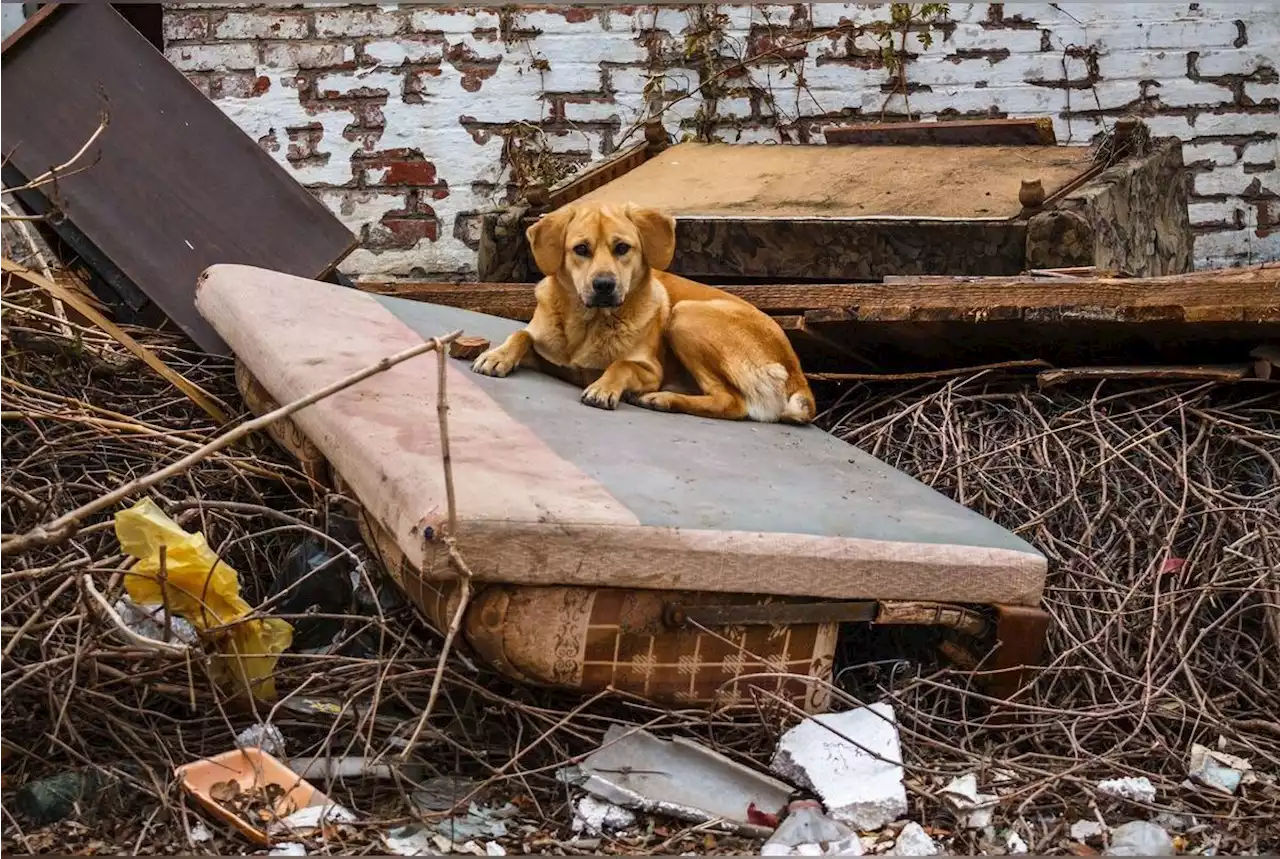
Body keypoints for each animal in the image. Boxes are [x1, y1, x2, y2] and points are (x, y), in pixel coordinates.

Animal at [468, 204, 808, 427]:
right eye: (581, 249)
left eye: (622, 248)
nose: (604, 285)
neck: (590, 324)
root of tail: (798, 376)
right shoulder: (548, 353)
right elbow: (521, 334)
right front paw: (497, 356)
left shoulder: (650, 370)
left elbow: (622, 364)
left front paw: (604, 387)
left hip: (685, 315)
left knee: (731, 402)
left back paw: (662, 400)